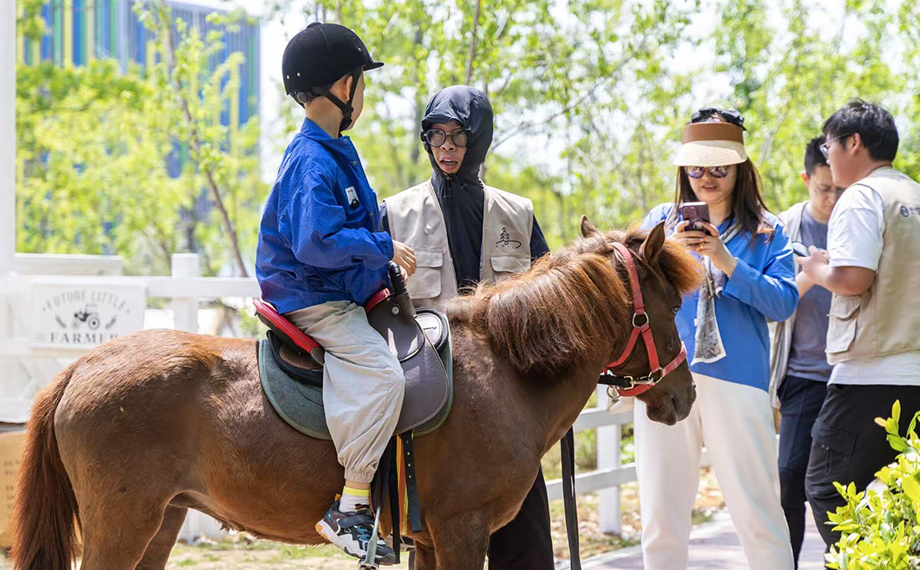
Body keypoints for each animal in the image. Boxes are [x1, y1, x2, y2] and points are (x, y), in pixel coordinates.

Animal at [11, 218, 701, 570]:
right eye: (670, 305)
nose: (685, 396)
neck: (501, 367)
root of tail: (79, 369)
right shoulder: (461, 533)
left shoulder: (432, 540)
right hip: (121, 526)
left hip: (160, 524)